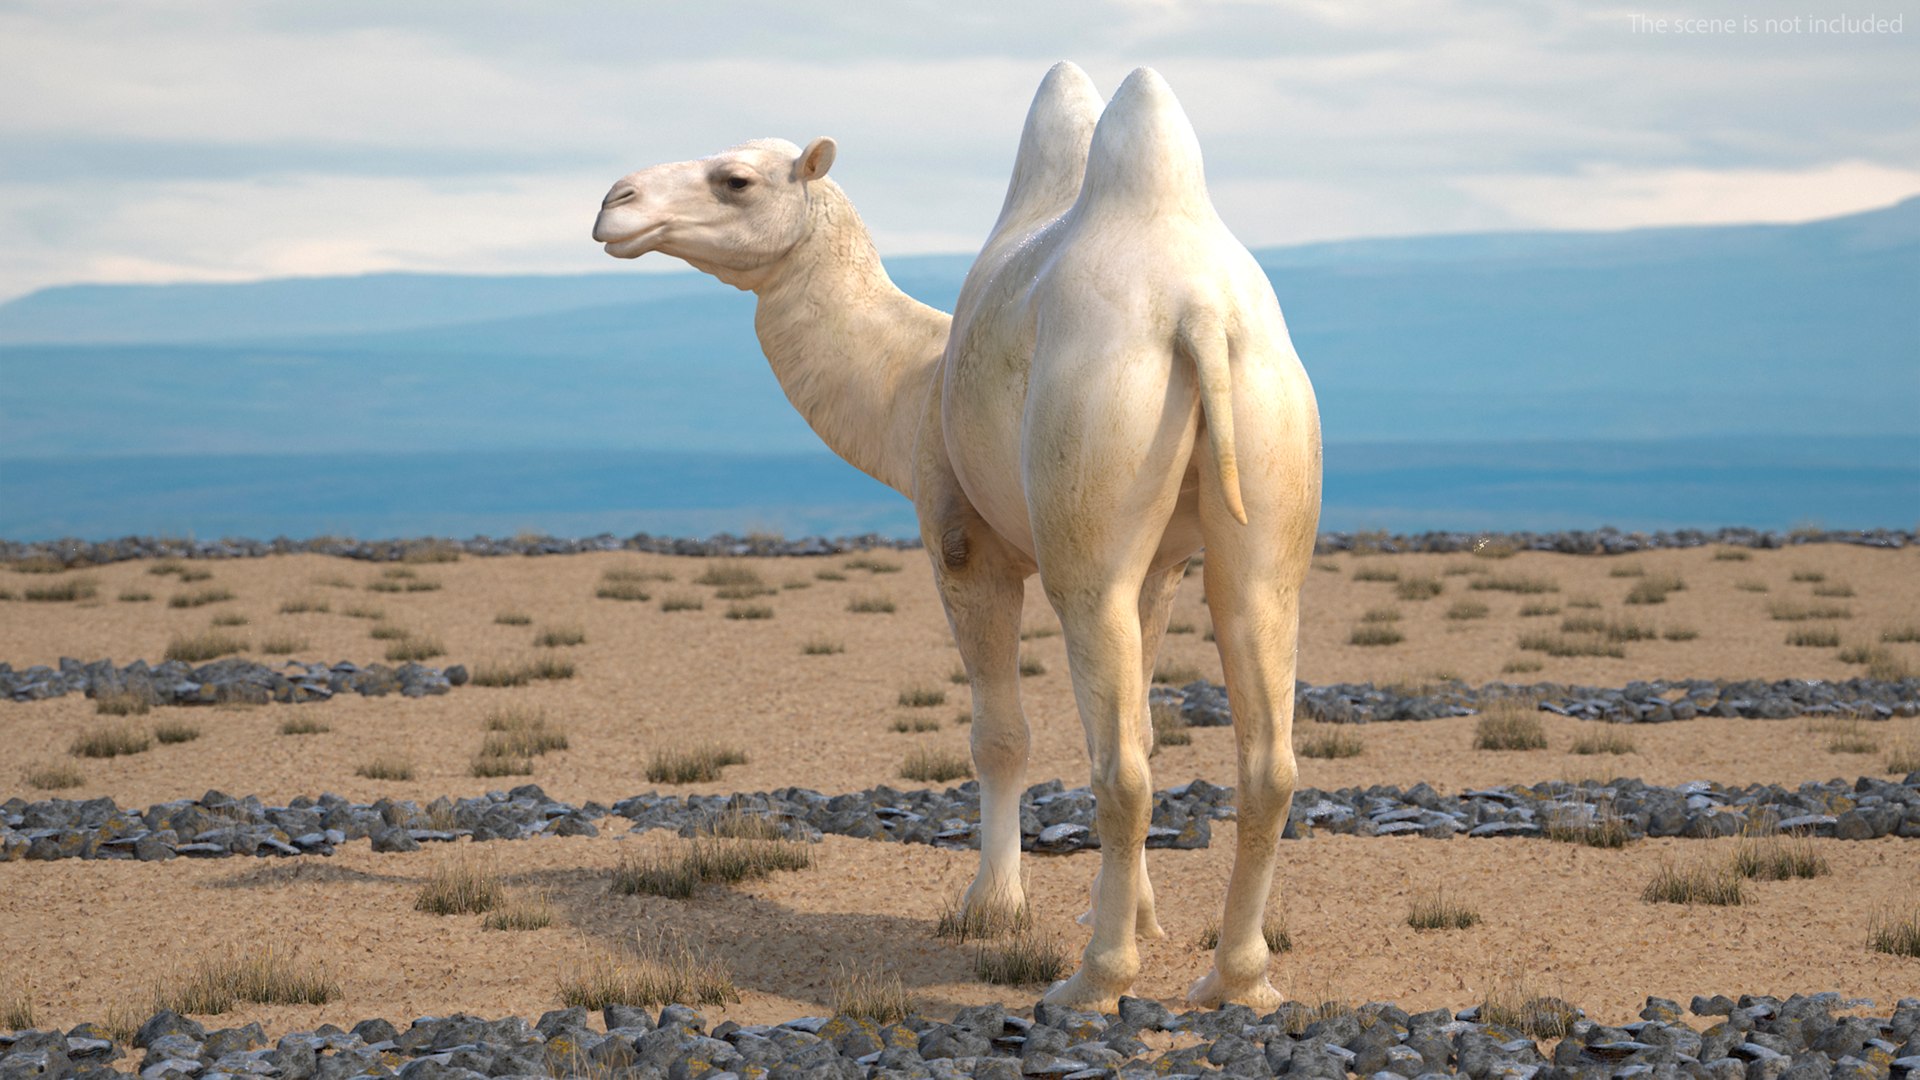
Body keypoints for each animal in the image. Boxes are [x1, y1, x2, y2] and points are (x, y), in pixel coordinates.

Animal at [591, 62, 1321, 1012]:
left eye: (737, 179)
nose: (614, 201)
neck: (914, 379)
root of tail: (1195, 310)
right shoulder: (1160, 569)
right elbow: (1149, 726)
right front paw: (1139, 914)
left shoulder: (961, 545)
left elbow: (1000, 737)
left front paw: (992, 909)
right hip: (1269, 477)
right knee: (1264, 752)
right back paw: (1237, 981)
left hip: (1087, 503)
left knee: (1117, 765)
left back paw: (1093, 982)